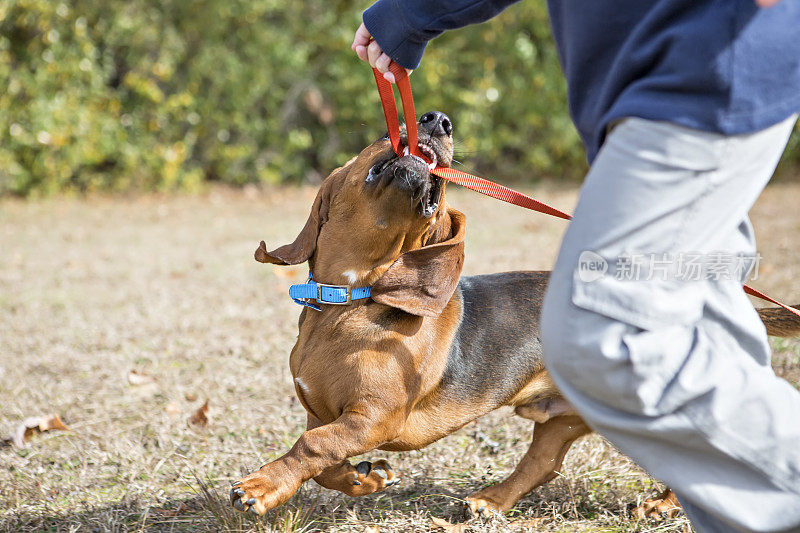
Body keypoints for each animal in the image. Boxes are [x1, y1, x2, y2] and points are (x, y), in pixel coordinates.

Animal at [230, 111, 800, 516]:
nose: (439, 120)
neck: (350, 302)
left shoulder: (369, 417)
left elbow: (312, 446)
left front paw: (260, 486)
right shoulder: (327, 412)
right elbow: (326, 460)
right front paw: (363, 478)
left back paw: (665, 505)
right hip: (564, 418)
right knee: (542, 464)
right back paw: (491, 502)